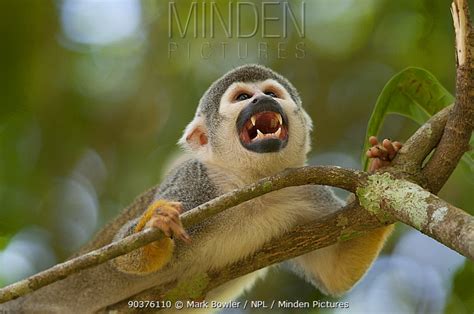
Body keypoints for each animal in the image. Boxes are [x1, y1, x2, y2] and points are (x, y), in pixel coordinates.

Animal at [112, 63, 400, 296]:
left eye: (271, 94)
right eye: (243, 97)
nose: (261, 99)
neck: (250, 185)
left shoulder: (307, 192)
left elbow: (337, 270)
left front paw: (382, 162)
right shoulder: (191, 185)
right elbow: (123, 249)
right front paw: (158, 223)